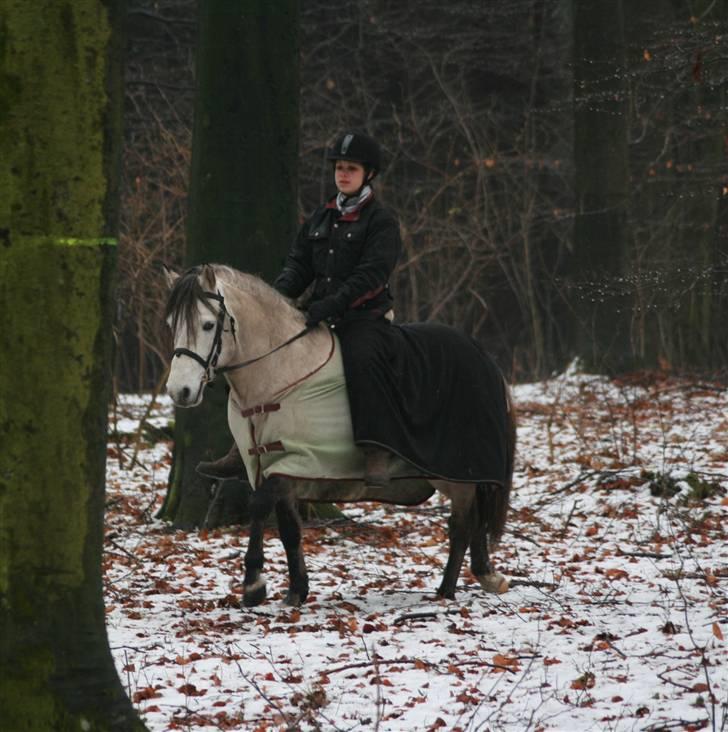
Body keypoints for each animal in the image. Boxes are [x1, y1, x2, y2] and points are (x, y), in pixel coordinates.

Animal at [165, 264, 516, 608]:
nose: (180, 391)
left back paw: (447, 590)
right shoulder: (276, 464)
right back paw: (478, 577)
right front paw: (296, 591)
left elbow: (259, 505)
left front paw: (253, 584)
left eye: (208, 324)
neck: (282, 370)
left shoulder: (295, 460)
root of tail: (481, 354)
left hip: (458, 470)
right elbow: (289, 529)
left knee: (462, 524)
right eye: (172, 324)